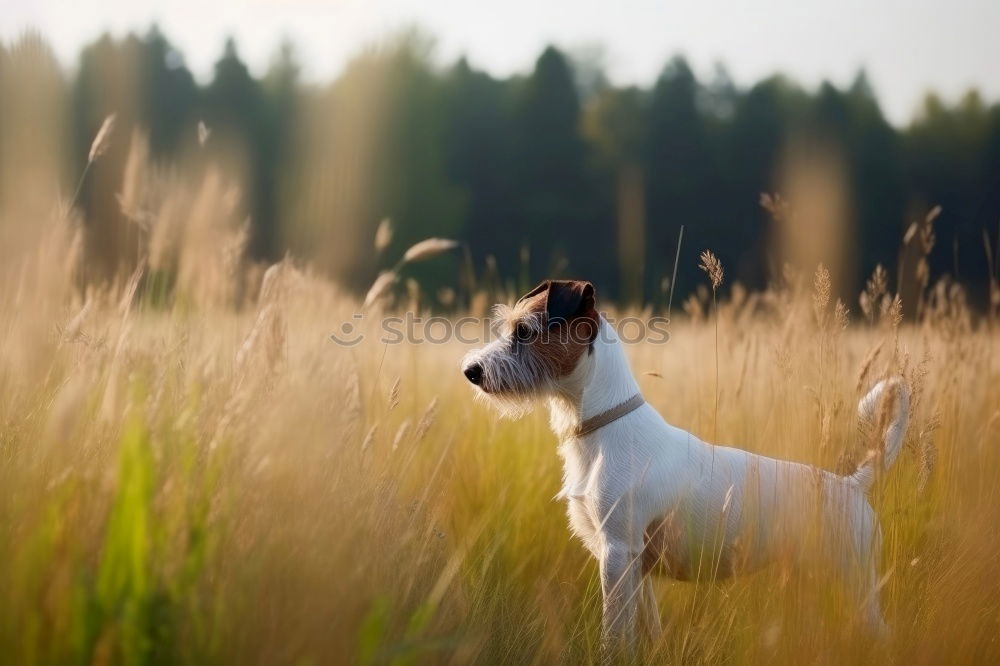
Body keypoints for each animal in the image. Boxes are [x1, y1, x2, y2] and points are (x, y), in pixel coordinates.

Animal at [464, 278, 912, 648]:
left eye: (524, 331)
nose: (470, 371)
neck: (604, 426)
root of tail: (852, 484)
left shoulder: (616, 553)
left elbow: (615, 635)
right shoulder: (633, 564)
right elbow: (645, 629)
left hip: (855, 584)